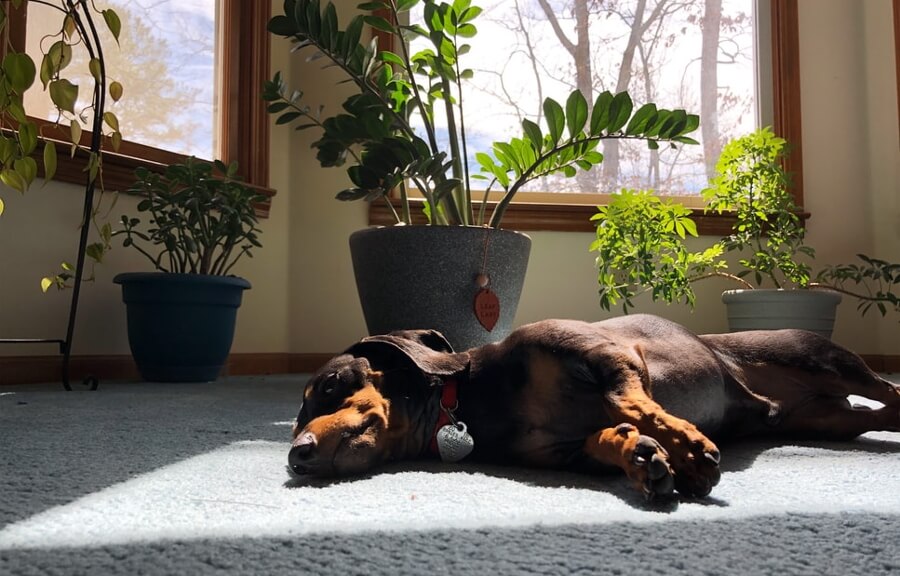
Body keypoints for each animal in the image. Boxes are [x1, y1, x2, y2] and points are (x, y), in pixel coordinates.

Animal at [290, 316, 900, 500]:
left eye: (330, 385)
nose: (296, 456)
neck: (479, 398)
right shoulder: (562, 452)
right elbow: (608, 436)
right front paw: (642, 458)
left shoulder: (607, 355)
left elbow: (633, 403)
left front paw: (688, 449)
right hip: (832, 421)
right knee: (878, 415)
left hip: (828, 361)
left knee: (890, 392)